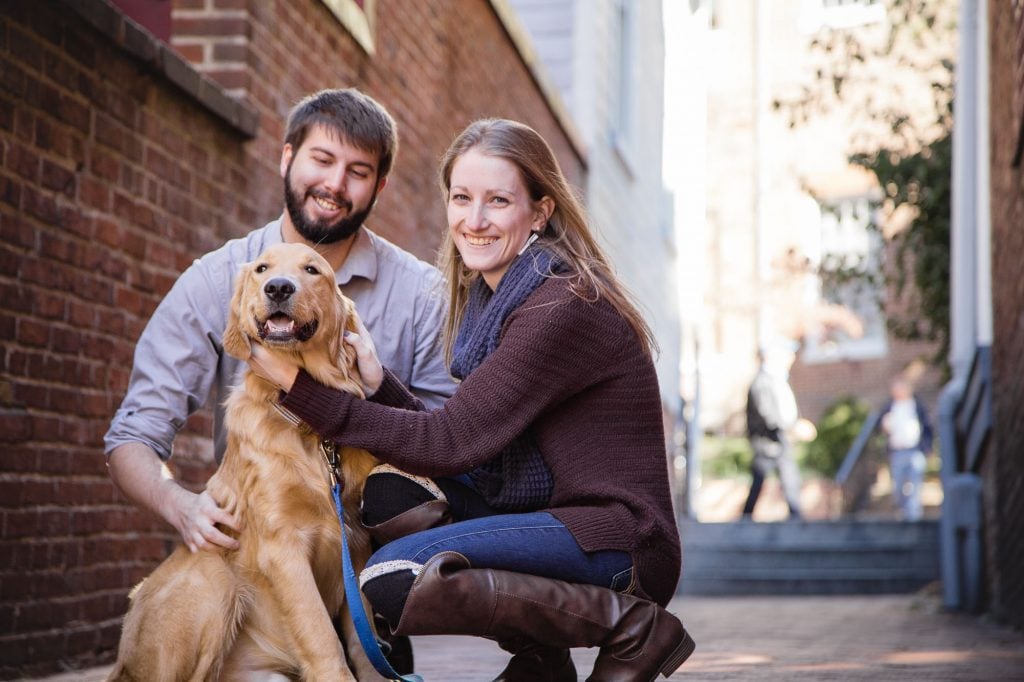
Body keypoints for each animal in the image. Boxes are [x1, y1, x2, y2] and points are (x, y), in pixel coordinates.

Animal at [109, 241, 385, 675]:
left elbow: (363, 635)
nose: (278, 288)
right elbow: (322, 635)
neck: (308, 427)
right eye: (262, 269)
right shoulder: (283, 546)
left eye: (312, 270)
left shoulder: (354, 541)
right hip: (215, 579)